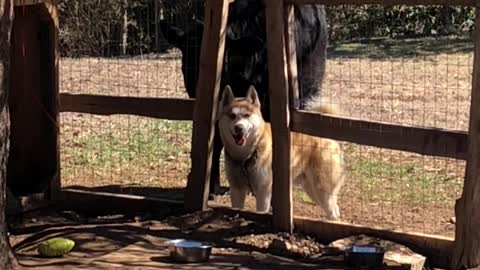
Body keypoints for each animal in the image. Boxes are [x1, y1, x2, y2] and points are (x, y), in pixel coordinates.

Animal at [218, 85, 344, 220]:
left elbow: (261, 211)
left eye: (247, 115)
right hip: (312, 189)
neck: (246, 156)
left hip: (322, 191)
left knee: (334, 212)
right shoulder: (237, 190)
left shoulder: (263, 192)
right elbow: (236, 208)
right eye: (232, 115)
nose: (239, 127)